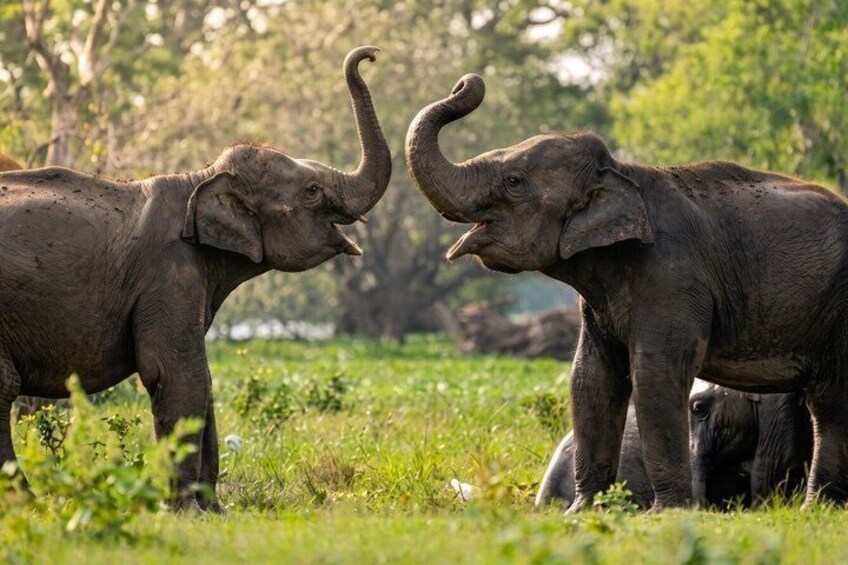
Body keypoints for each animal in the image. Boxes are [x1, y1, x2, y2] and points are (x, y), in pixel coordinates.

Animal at [0, 46, 391, 511]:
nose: (371, 54)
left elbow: (202, 379)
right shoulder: (168, 273)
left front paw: (215, 509)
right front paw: (187, 510)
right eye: (312, 191)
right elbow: (176, 372)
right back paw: (27, 503)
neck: (198, 179)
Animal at [406, 72, 848, 512]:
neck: (622, 172)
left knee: (828, 401)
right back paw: (820, 507)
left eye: (514, 182)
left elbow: (654, 374)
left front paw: (664, 512)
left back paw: (814, 507)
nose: (467, 82)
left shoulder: (673, 279)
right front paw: (581, 511)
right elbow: (591, 378)